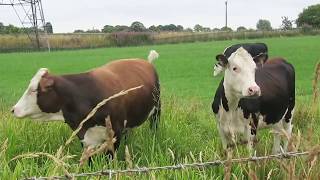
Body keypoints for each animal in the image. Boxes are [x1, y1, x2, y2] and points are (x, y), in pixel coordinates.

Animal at [11, 50, 161, 154]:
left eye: (32, 90)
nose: (13, 109)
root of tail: (147, 62)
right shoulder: (85, 137)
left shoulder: (115, 134)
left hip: (157, 110)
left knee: (154, 126)